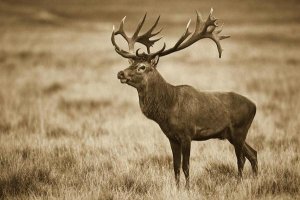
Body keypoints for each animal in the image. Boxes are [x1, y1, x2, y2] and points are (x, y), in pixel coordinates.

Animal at [111, 8, 256, 189]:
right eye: (129, 63)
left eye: (142, 67)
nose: (120, 73)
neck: (168, 109)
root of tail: (255, 106)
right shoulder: (172, 137)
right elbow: (175, 166)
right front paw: (177, 187)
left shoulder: (187, 134)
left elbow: (186, 166)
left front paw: (187, 188)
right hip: (231, 134)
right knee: (253, 153)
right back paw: (256, 179)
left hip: (239, 130)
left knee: (241, 158)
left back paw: (239, 182)